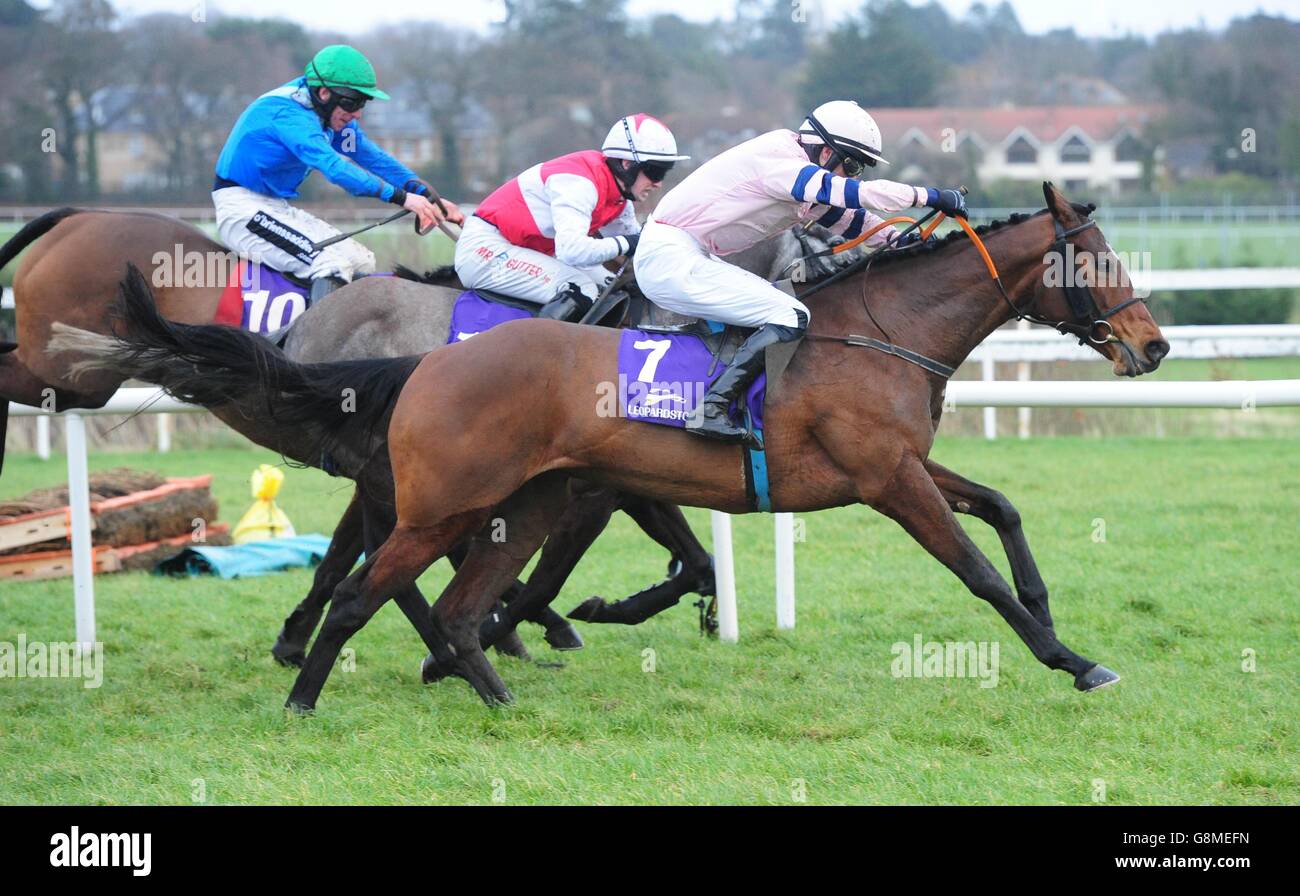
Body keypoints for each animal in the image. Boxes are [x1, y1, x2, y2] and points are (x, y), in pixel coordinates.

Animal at [62, 183, 1170, 712]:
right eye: (1092, 260)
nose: (1153, 343)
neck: (869, 329)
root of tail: (423, 363)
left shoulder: (899, 464)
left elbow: (1004, 511)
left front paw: (1050, 614)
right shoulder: (885, 479)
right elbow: (973, 568)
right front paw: (1071, 660)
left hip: (521, 503)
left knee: (447, 601)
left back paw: (491, 689)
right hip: (446, 503)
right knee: (371, 584)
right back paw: (305, 692)